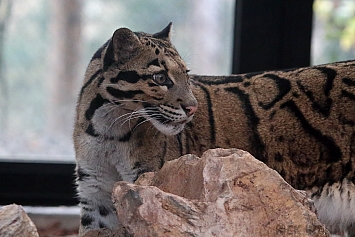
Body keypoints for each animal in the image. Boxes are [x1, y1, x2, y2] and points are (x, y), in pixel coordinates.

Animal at [74, 23, 355, 236]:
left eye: (187, 75)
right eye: (160, 78)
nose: (192, 108)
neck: (108, 129)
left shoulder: (149, 182)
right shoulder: (95, 194)